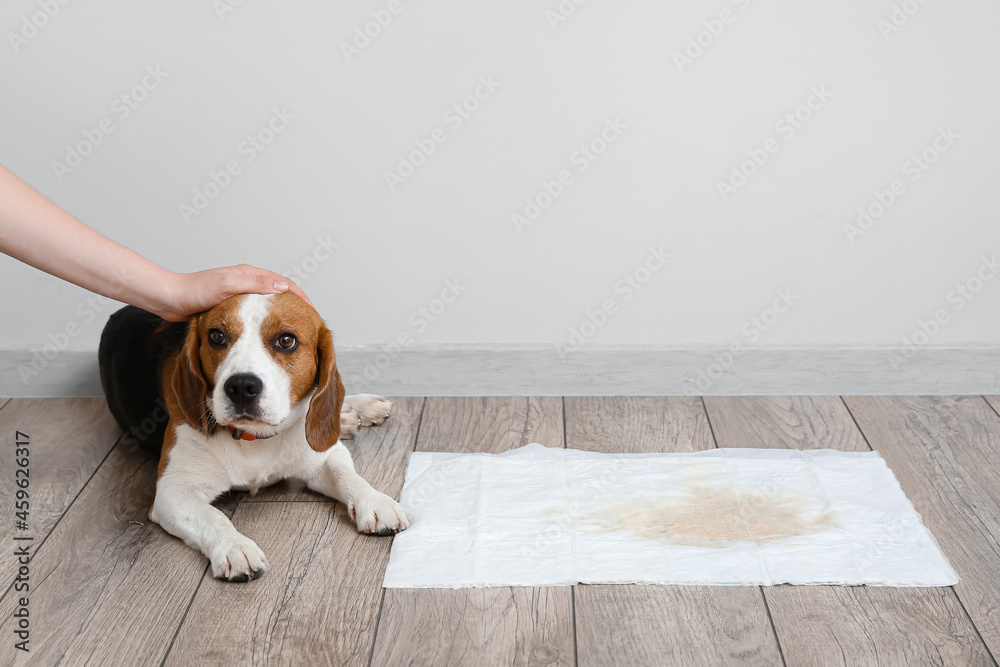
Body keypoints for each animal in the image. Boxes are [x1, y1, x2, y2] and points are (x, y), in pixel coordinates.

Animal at [100, 294, 410, 580]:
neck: (255, 438)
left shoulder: (323, 456)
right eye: (216, 336)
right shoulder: (172, 492)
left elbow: (346, 474)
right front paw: (235, 547)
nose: (241, 386)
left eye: (286, 340)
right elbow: (214, 517)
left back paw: (354, 410)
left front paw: (376, 501)